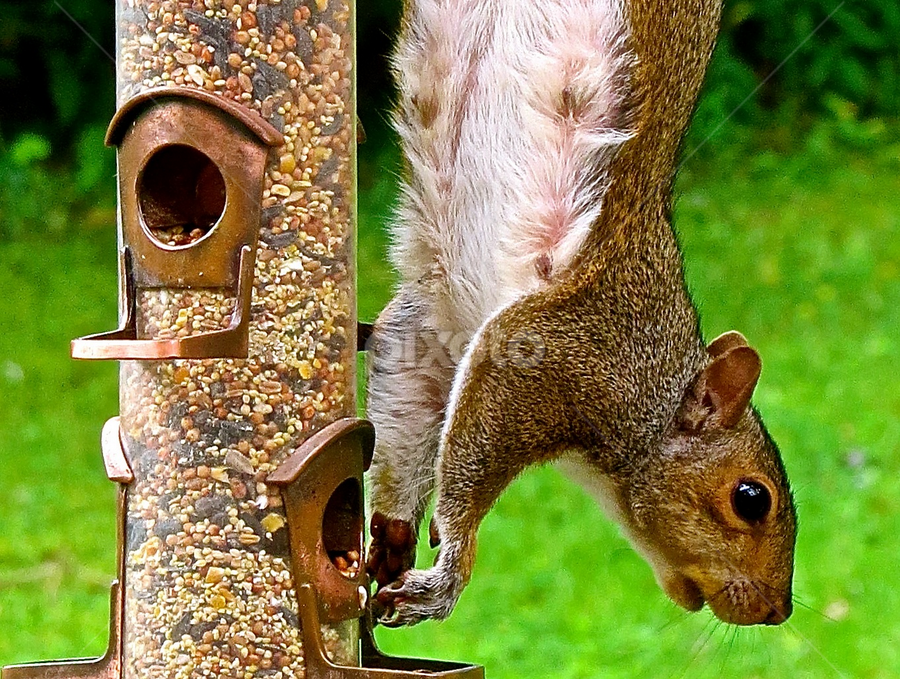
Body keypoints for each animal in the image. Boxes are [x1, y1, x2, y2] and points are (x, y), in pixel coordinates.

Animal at [364, 0, 796, 627]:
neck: (652, 388)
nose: (776, 611)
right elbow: (469, 470)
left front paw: (391, 539)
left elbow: (406, 415)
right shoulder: (556, 354)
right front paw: (448, 578)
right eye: (751, 498)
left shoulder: (434, 336)